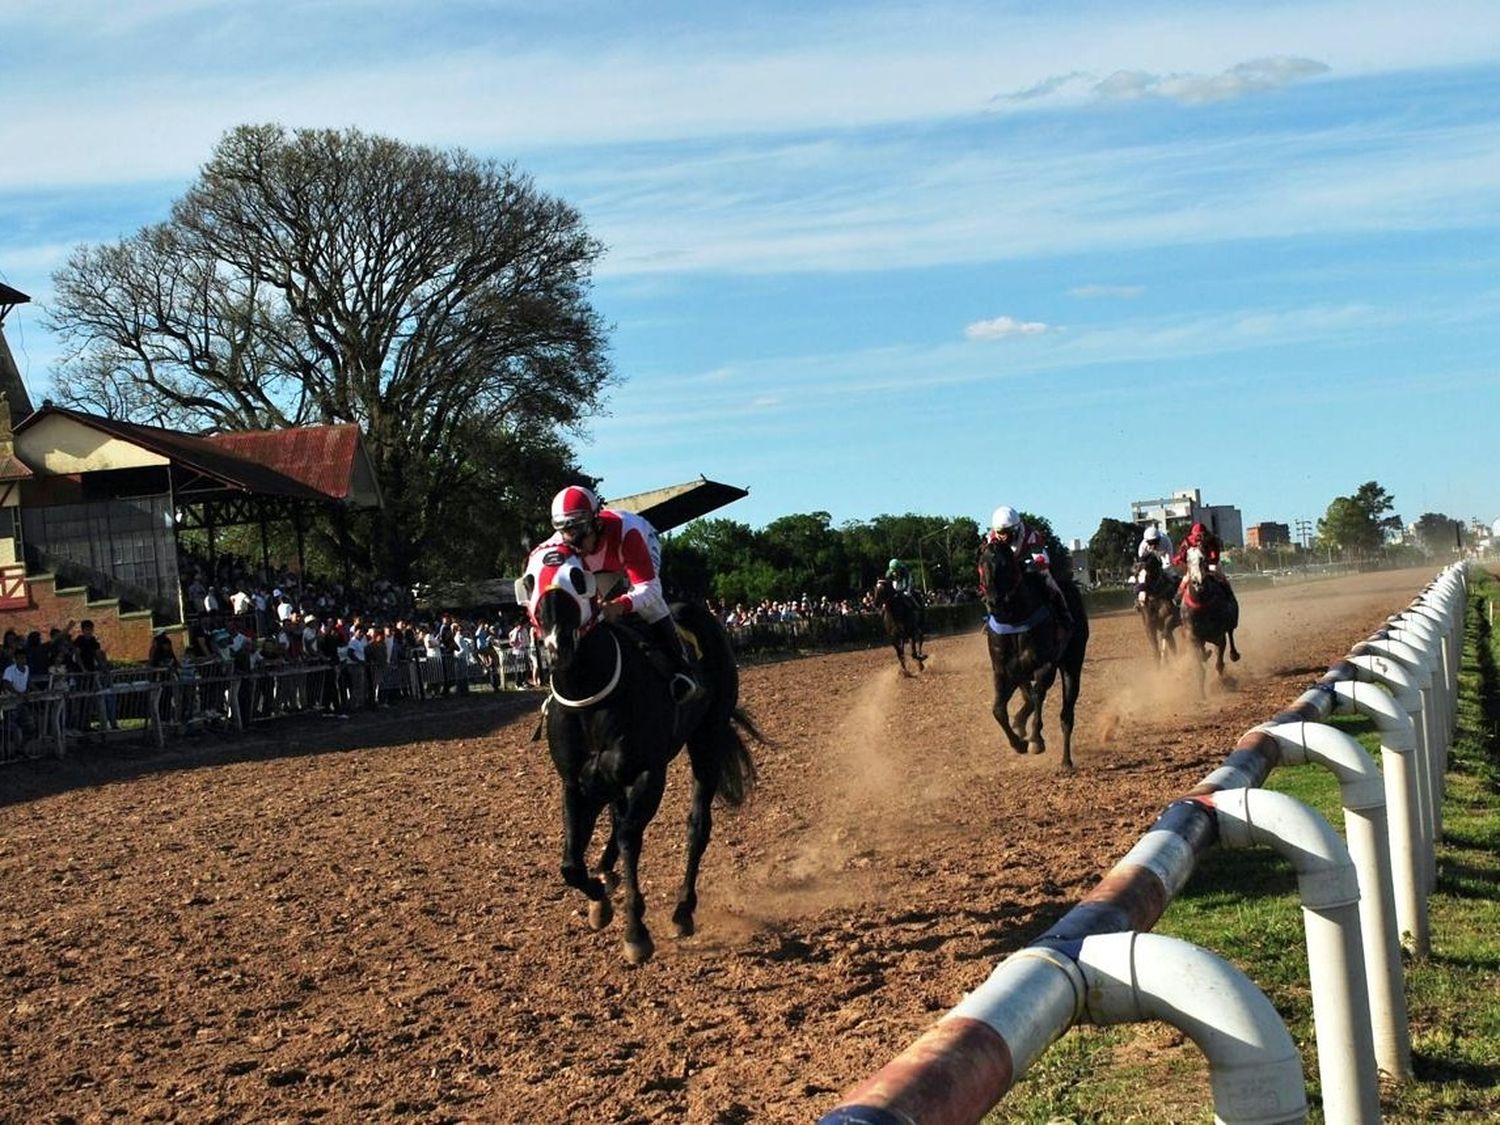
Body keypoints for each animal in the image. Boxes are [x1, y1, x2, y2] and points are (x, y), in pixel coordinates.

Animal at [525, 549, 762, 972]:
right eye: (530, 579)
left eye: (578, 577)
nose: (558, 645)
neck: (589, 695)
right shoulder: (576, 782)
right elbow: (571, 864)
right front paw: (599, 899)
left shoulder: (648, 773)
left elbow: (629, 838)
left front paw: (636, 932)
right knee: (616, 820)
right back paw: (607, 875)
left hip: (708, 738)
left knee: (696, 825)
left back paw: (683, 910)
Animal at [972, 540, 1092, 774]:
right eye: (981, 565)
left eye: (1005, 564)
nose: (993, 602)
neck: (1015, 619)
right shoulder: (1002, 671)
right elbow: (998, 709)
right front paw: (1018, 742)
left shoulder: (1045, 666)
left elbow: (1037, 697)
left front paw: (1036, 740)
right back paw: (1020, 724)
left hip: (1072, 663)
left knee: (1066, 714)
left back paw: (1066, 760)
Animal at [1182, 546, 1242, 696]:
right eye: (1188, 560)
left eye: (1203, 559)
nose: (1198, 582)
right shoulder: (1193, 638)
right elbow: (1200, 667)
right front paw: (1202, 694)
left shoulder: (1219, 637)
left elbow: (1219, 663)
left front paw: (1222, 684)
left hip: (1231, 622)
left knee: (1230, 633)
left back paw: (1234, 655)